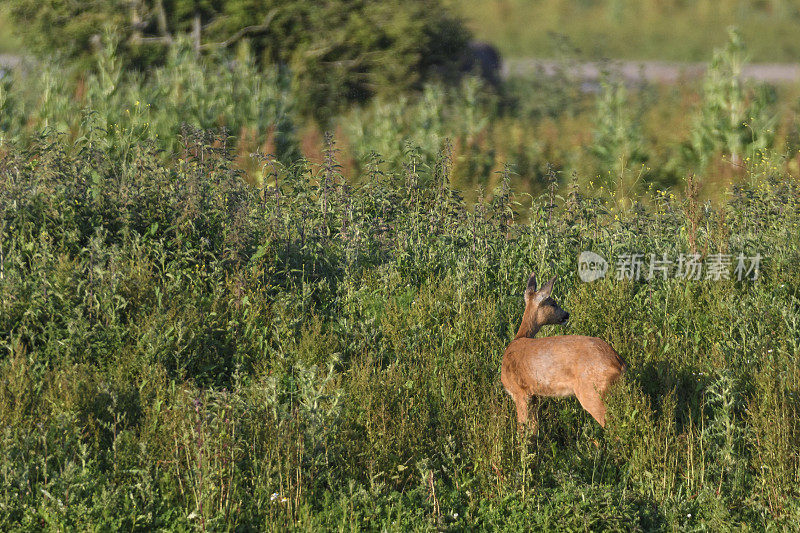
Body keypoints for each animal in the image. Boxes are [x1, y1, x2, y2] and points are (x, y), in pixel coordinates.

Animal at [500, 272, 624, 430]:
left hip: (593, 393)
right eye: (553, 303)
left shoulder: (520, 392)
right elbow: (533, 428)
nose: (567, 314)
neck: (518, 338)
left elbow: (522, 428)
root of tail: (619, 363)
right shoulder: (534, 396)